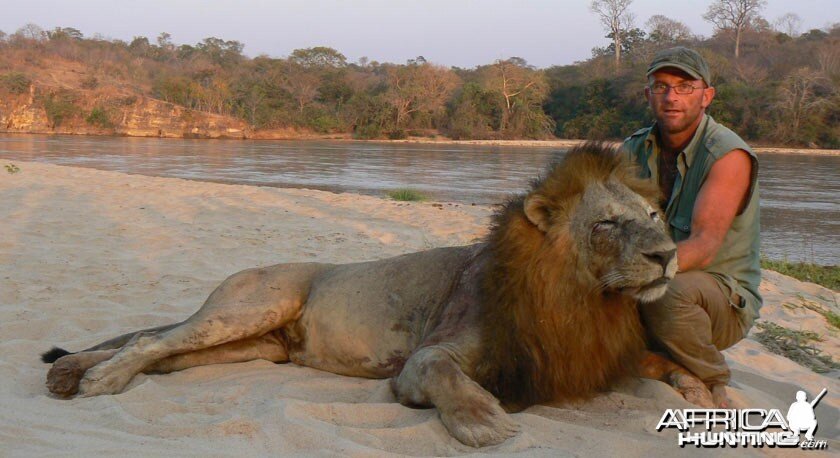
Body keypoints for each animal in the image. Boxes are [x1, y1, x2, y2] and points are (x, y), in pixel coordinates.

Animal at [37, 142, 708, 448]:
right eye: (608, 224)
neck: (581, 299)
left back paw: (72, 373)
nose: (666, 255)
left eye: (654, 215)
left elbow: (662, 367)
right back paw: (95, 380)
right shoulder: (429, 356)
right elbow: (444, 375)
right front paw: (485, 421)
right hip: (251, 305)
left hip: (255, 348)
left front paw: (701, 390)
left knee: (163, 350)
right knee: (151, 339)